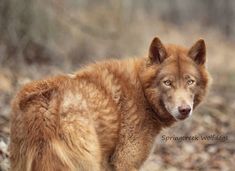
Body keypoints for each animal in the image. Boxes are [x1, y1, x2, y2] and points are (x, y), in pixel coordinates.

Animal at [9, 36, 211, 170]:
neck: (142, 93)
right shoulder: (125, 162)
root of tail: (45, 105)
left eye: (190, 81)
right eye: (167, 82)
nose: (184, 110)